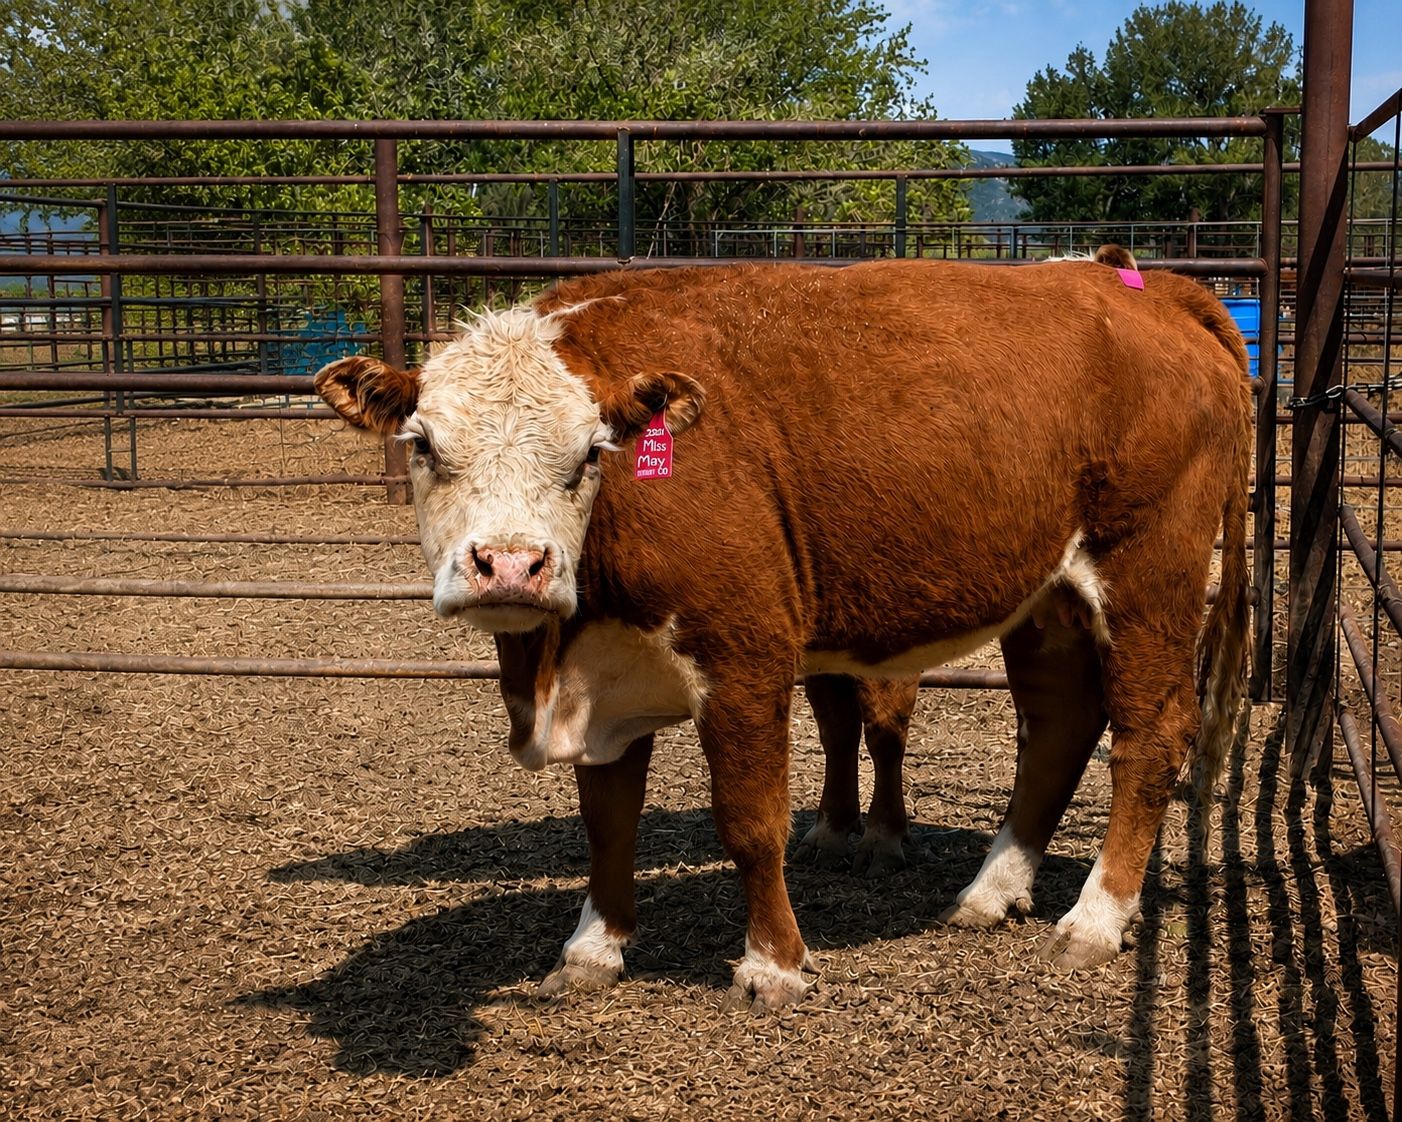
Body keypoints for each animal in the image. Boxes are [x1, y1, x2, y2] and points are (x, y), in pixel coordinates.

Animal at [314, 255, 1252, 1012]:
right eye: (424, 445)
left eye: (588, 452)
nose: (511, 565)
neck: (556, 663)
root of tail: (1137, 287)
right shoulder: (605, 677)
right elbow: (607, 822)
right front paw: (592, 949)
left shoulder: (744, 658)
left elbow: (751, 821)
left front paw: (773, 963)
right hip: (1049, 600)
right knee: (1058, 728)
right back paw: (992, 889)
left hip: (1147, 575)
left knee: (1150, 735)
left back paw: (1094, 917)